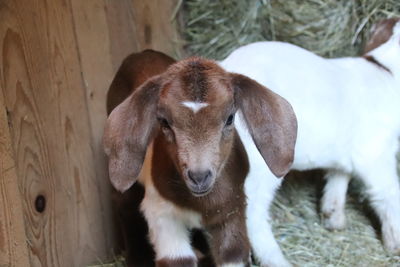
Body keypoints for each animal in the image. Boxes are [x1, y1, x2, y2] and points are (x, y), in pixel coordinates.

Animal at [222, 18, 400, 267]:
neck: (388, 72)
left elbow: (339, 177)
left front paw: (333, 217)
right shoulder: (375, 152)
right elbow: (389, 193)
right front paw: (395, 243)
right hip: (257, 165)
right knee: (249, 212)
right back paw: (276, 260)